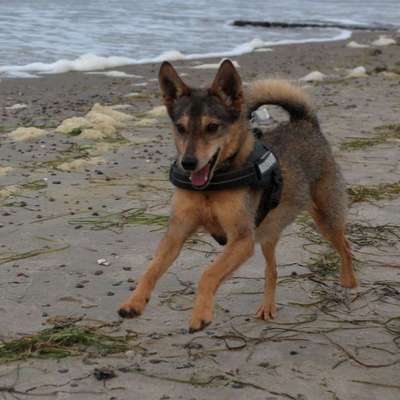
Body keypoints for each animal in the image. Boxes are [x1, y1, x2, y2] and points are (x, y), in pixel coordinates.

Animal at [118, 58, 356, 332]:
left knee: (345, 246)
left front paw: (201, 313)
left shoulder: (241, 239)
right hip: (266, 233)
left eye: (212, 127)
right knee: (272, 271)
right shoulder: (177, 233)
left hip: (326, 217)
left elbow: (208, 274)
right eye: (180, 128)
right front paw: (134, 302)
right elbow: (151, 269)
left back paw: (349, 282)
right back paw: (268, 306)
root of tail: (304, 122)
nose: (188, 163)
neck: (210, 187)